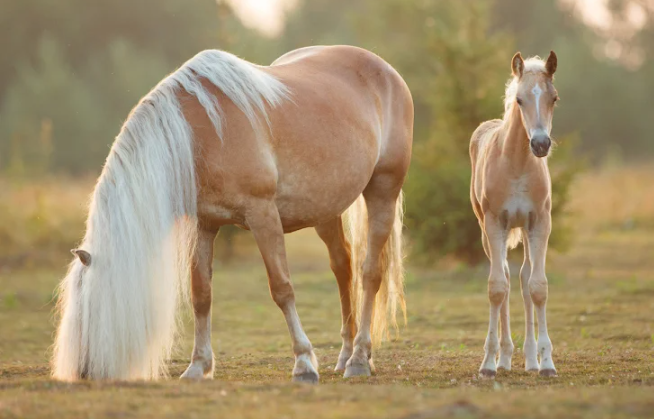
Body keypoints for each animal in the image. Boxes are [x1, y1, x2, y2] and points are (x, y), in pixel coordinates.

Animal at [51, 46, 412, 384]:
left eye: (90, 310)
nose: (84, 372)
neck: (200, 134)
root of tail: (386, 71)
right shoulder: (205, 224)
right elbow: (201, 294)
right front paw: (198, 366)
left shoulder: (262, 215)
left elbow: (281, 288)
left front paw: (304, 364)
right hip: (326, 210)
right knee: (343, 267)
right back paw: (345, 354)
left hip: (383, 190)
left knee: (370, 273)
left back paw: (359, 360)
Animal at [472, 50, 560, 378]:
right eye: (520, 100)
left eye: (554, 98)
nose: (540, 144)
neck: (518, 164)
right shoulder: (495, 224)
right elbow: (497, 288)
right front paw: (488, 363)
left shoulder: (540, 223)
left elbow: (538, 287)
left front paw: (547, 363)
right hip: (486, 231)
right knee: (507, 279)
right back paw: (504, 358)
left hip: (523, 229)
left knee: (521, 278)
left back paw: (531, 359)